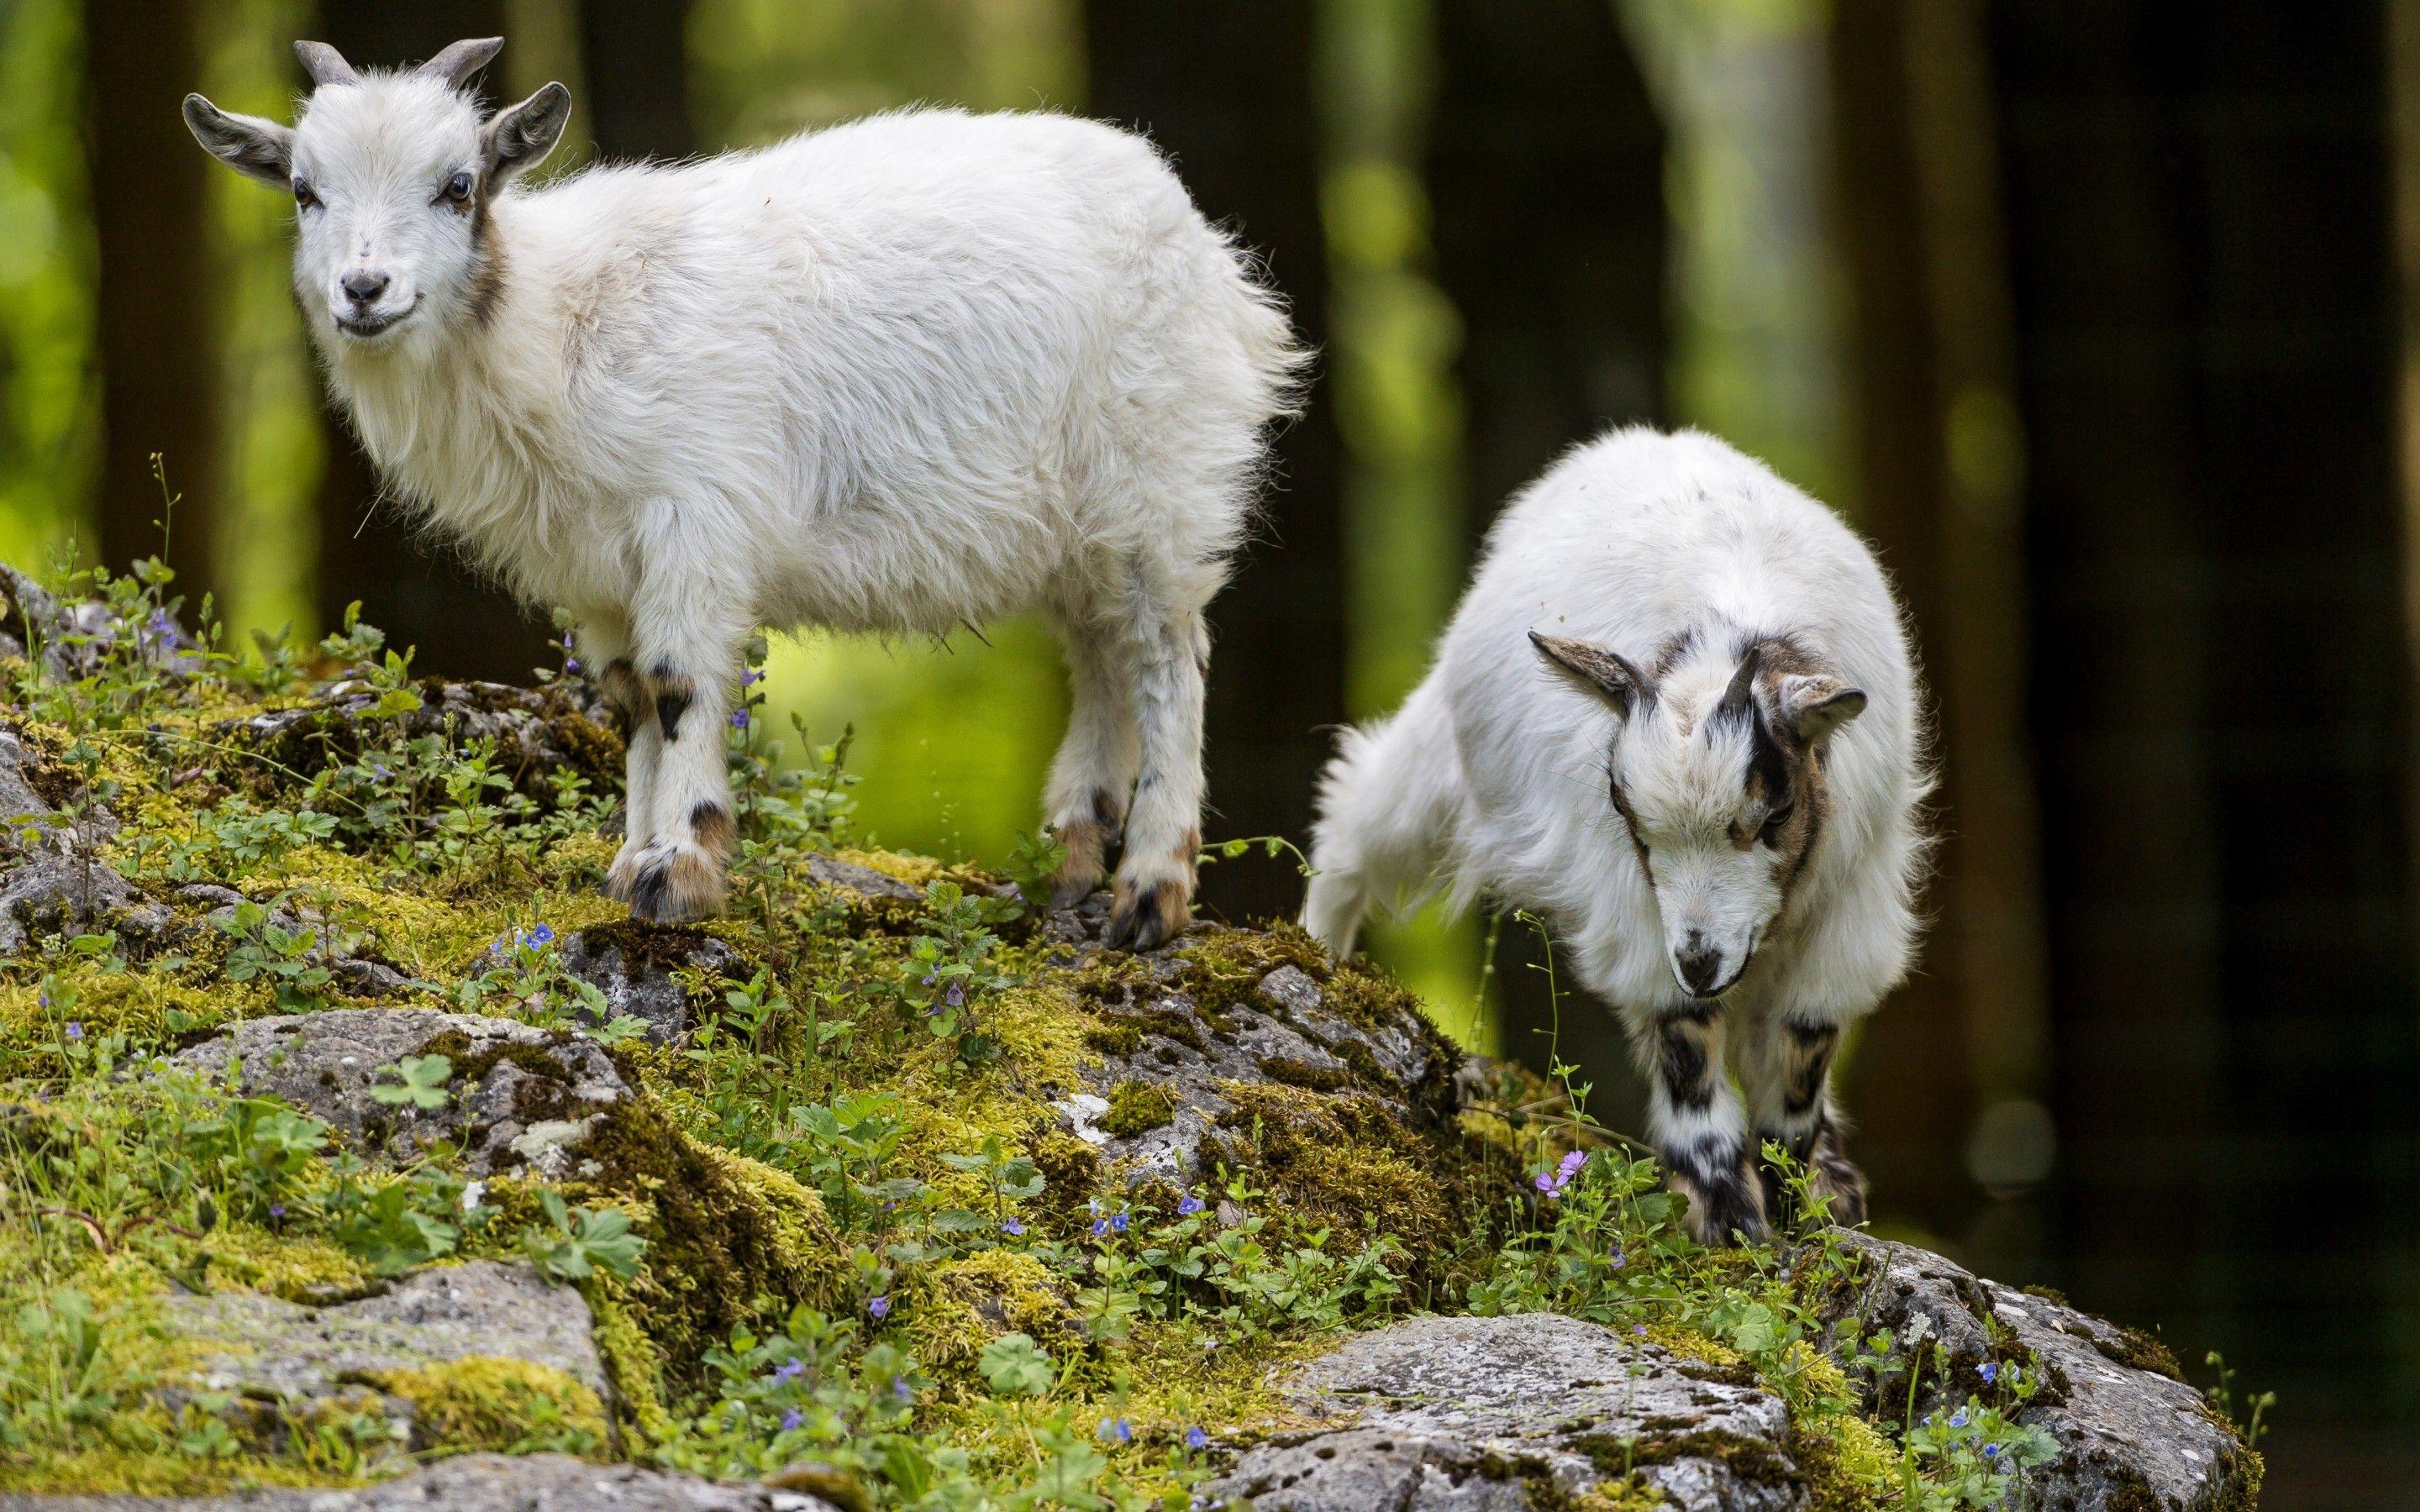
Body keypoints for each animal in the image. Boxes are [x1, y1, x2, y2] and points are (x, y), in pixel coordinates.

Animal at [183, 38, 1300, 950]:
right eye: (303, 191)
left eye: (458, 186)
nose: (364, 291)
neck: (558, 320)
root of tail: (1207, 251)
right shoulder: (599, 569)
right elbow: (629, 698)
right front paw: (630, 859)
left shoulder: (695, 517)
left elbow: (680, 685)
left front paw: (680, 871)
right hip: (1078, 531)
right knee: (1102, 657)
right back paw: (1069, 857)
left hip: (1160, 489)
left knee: (1167, 662)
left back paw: (1149, 894)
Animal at [1303, 427, 1929, 1243]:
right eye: (1627, 811)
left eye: (1775, 813)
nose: (1701, 961)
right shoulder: (1632, 902)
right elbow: (1684, 1040)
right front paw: (1726, 1212)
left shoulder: (1851, 902)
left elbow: (1801, 1053)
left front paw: (1808, 1200)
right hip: (1445, 764)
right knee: (1356, 815)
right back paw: (1319, 952)